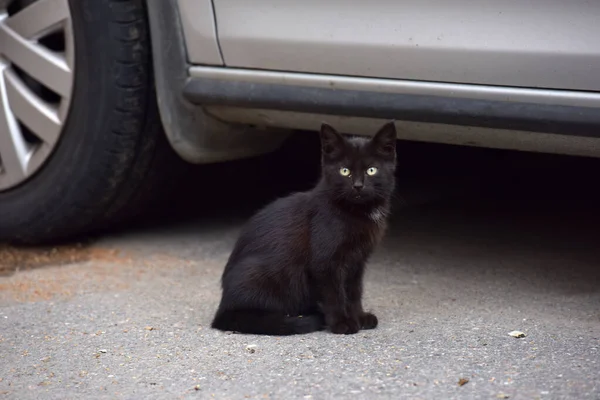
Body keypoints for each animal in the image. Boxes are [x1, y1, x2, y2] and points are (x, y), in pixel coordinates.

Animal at [212, 122, 398, 334]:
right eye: (344, 171)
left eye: (371, 170)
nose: (358, 186)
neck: (357, 212)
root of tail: (222, 311)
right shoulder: (325, 262)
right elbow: (334, 293)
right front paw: (342, 322)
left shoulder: (358, 261)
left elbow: (354, 291)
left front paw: (359, 317)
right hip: (259, 273)